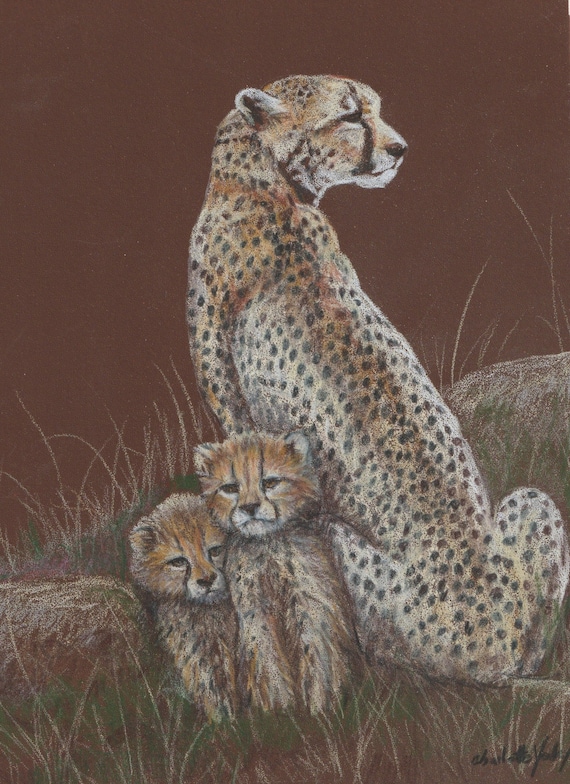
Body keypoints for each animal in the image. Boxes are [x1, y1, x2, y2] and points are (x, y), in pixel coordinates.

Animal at [187, 74, 569, 684]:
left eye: (374, 109)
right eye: (349, 117)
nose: (399, 149)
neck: (265, 181)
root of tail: (495, 637)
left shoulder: (216, 365)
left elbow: (235, 440)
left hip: (339, 543)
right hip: (535, 504)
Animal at [194, 430, 362, 714]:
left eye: (270, 482)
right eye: (231, 488)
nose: (250, 507)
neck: (268, 545)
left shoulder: (310, 605)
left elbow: (317, 655)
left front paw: (321, 709)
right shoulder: (255, 611)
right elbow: (265, 656)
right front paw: (277, 709)